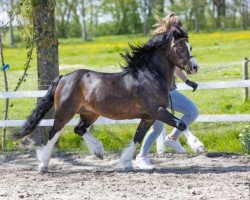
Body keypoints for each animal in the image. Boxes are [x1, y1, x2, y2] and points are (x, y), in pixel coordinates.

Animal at [13, 25, 199, 172]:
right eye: (180, 48)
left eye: (190, 46)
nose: (194, 67)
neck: (150, 75)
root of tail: (64, 77)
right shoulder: (158, 111)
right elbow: (181, 124)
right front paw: (198, 145)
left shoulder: (149, 117)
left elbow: (138, 137)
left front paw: (125, 163)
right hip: (64, 112)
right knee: (53, 133)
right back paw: (43, 165)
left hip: (90, 113)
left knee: (79, 129)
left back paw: (98, 151)